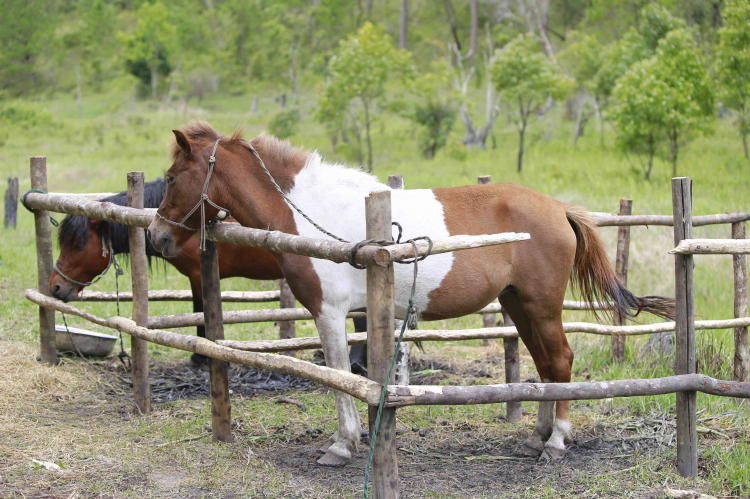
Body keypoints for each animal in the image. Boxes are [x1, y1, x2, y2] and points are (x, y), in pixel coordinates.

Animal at [147, 123, 676, 466]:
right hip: (518, 305)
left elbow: (339, 375)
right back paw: (536, 438)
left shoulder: (330, 312)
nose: (156, 237)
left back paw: (556, 442)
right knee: (547, 364)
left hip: (540, 306)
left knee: (561, 361)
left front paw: (342, 445)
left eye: (171, 179)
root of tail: (559, 209)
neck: (310, 212)